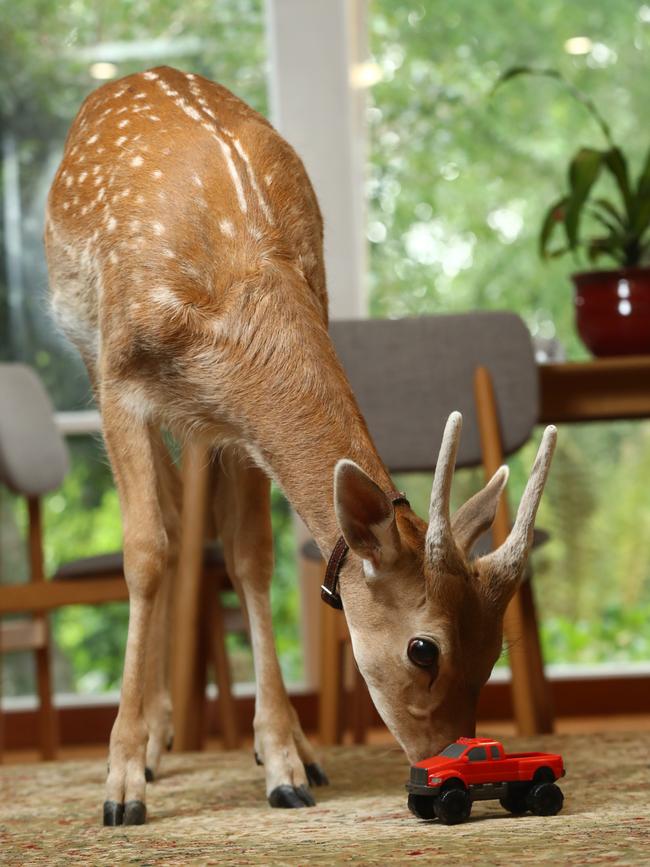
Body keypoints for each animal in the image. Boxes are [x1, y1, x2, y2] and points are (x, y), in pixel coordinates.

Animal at [43, 66, 556, 828]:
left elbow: (252, 556)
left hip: (198, 426)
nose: (445, 760)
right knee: (165, 530)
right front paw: (122, 782)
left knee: (191, 523)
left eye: (495, 648)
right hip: (90, 350)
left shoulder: (238, 427)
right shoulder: (119, 380)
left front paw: (286, 760)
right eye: (423, 648)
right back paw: (154, 744)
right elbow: (144, 553)